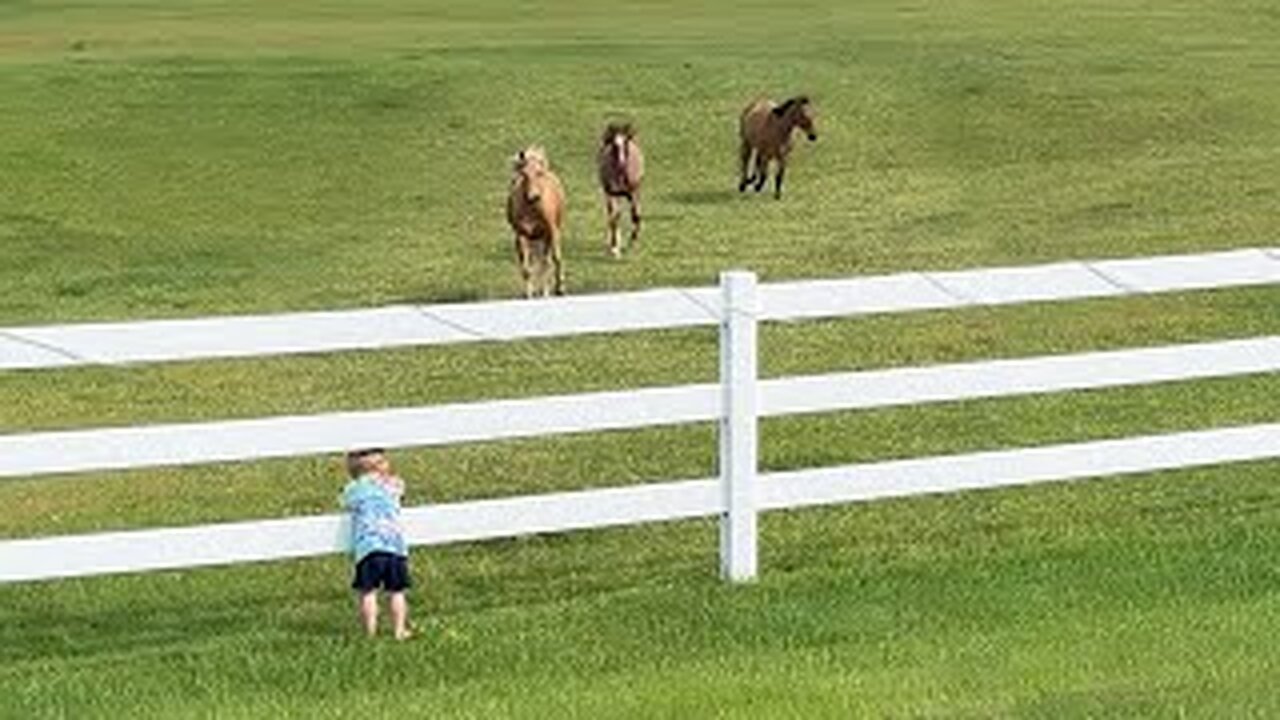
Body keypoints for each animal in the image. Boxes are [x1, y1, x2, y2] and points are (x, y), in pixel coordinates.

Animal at [506, 146, 568, 297]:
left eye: (539, 173)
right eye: (523, 174)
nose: (533, 197)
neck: (532, 209)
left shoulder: (551, 232)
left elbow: (551, 260)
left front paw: (556, 290)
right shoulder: (521, 236)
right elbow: (527, 268)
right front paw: (529, 295)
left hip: (549, 234)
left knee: (549, 260)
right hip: (535, 238)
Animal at [596, 121, 645, 256]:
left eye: (626, 143)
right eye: (614, 145)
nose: (621, 165)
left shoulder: (633, 193)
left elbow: (636, 215)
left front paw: (632, 243)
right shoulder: (612, 193)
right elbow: (614, 217)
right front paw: (614, 247)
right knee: (613, 215)